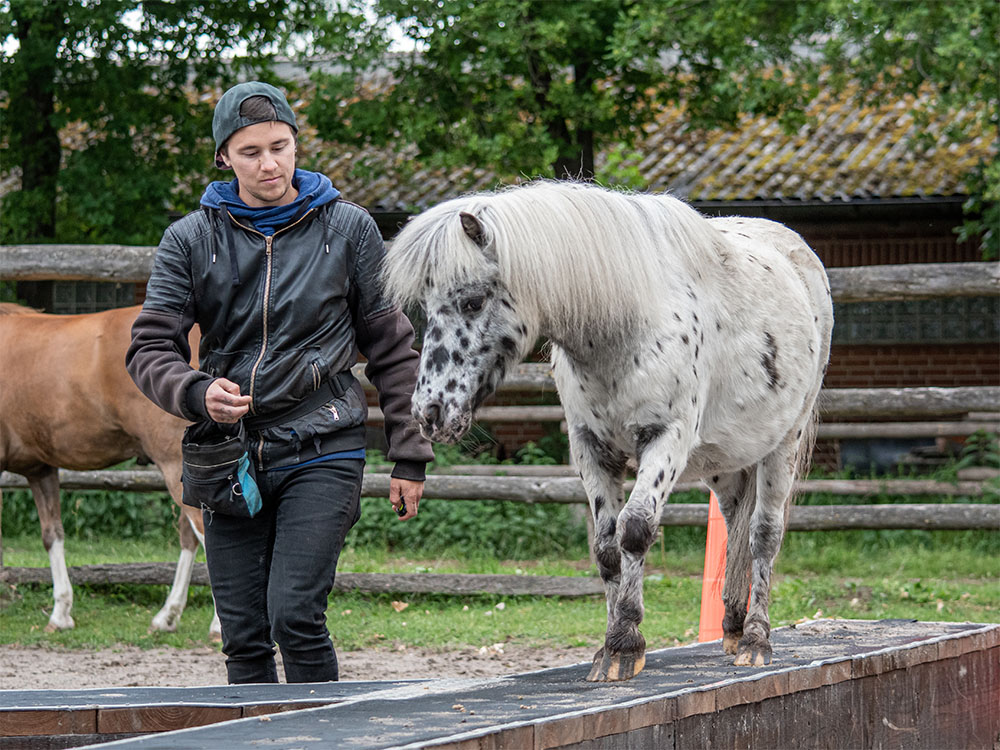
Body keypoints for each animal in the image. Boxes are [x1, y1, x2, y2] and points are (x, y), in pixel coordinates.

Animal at [0, 303, 220, 640]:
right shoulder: (40, 468)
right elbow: (53, 535)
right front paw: (61, 613)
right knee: (190, 536)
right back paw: (167, 616)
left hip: (176, 465)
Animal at [384, 180, 833, 681]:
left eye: (473, 301)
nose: (429, 412)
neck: (624, 324)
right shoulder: (590, 447)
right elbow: (605, 546)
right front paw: (609, 647)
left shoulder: (666, 438)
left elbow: (634, 529)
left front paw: (624, 642)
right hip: (726, 456)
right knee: (736, 519)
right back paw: (733, 626)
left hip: (784, 442)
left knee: (763, 533)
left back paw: (756, 640)